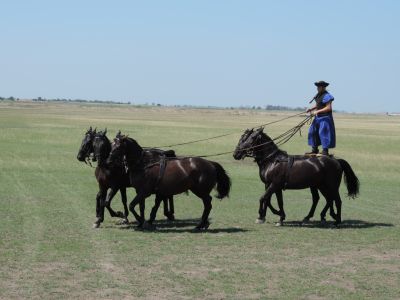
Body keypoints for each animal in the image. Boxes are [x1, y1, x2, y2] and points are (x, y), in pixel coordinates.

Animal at [231, 126, 360, 225]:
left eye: (251, 138)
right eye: (242, 138)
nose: (236, 154)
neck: (272, 160)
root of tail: (336, 160)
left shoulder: (274, 185)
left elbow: (263, 198)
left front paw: (262, 216)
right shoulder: (272, 186)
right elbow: (273, 201)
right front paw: (278, 216)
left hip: (331, 186)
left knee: (336, 200)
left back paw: (337, 220)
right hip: (321, 186)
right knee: (327, 199)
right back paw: (319, 216)